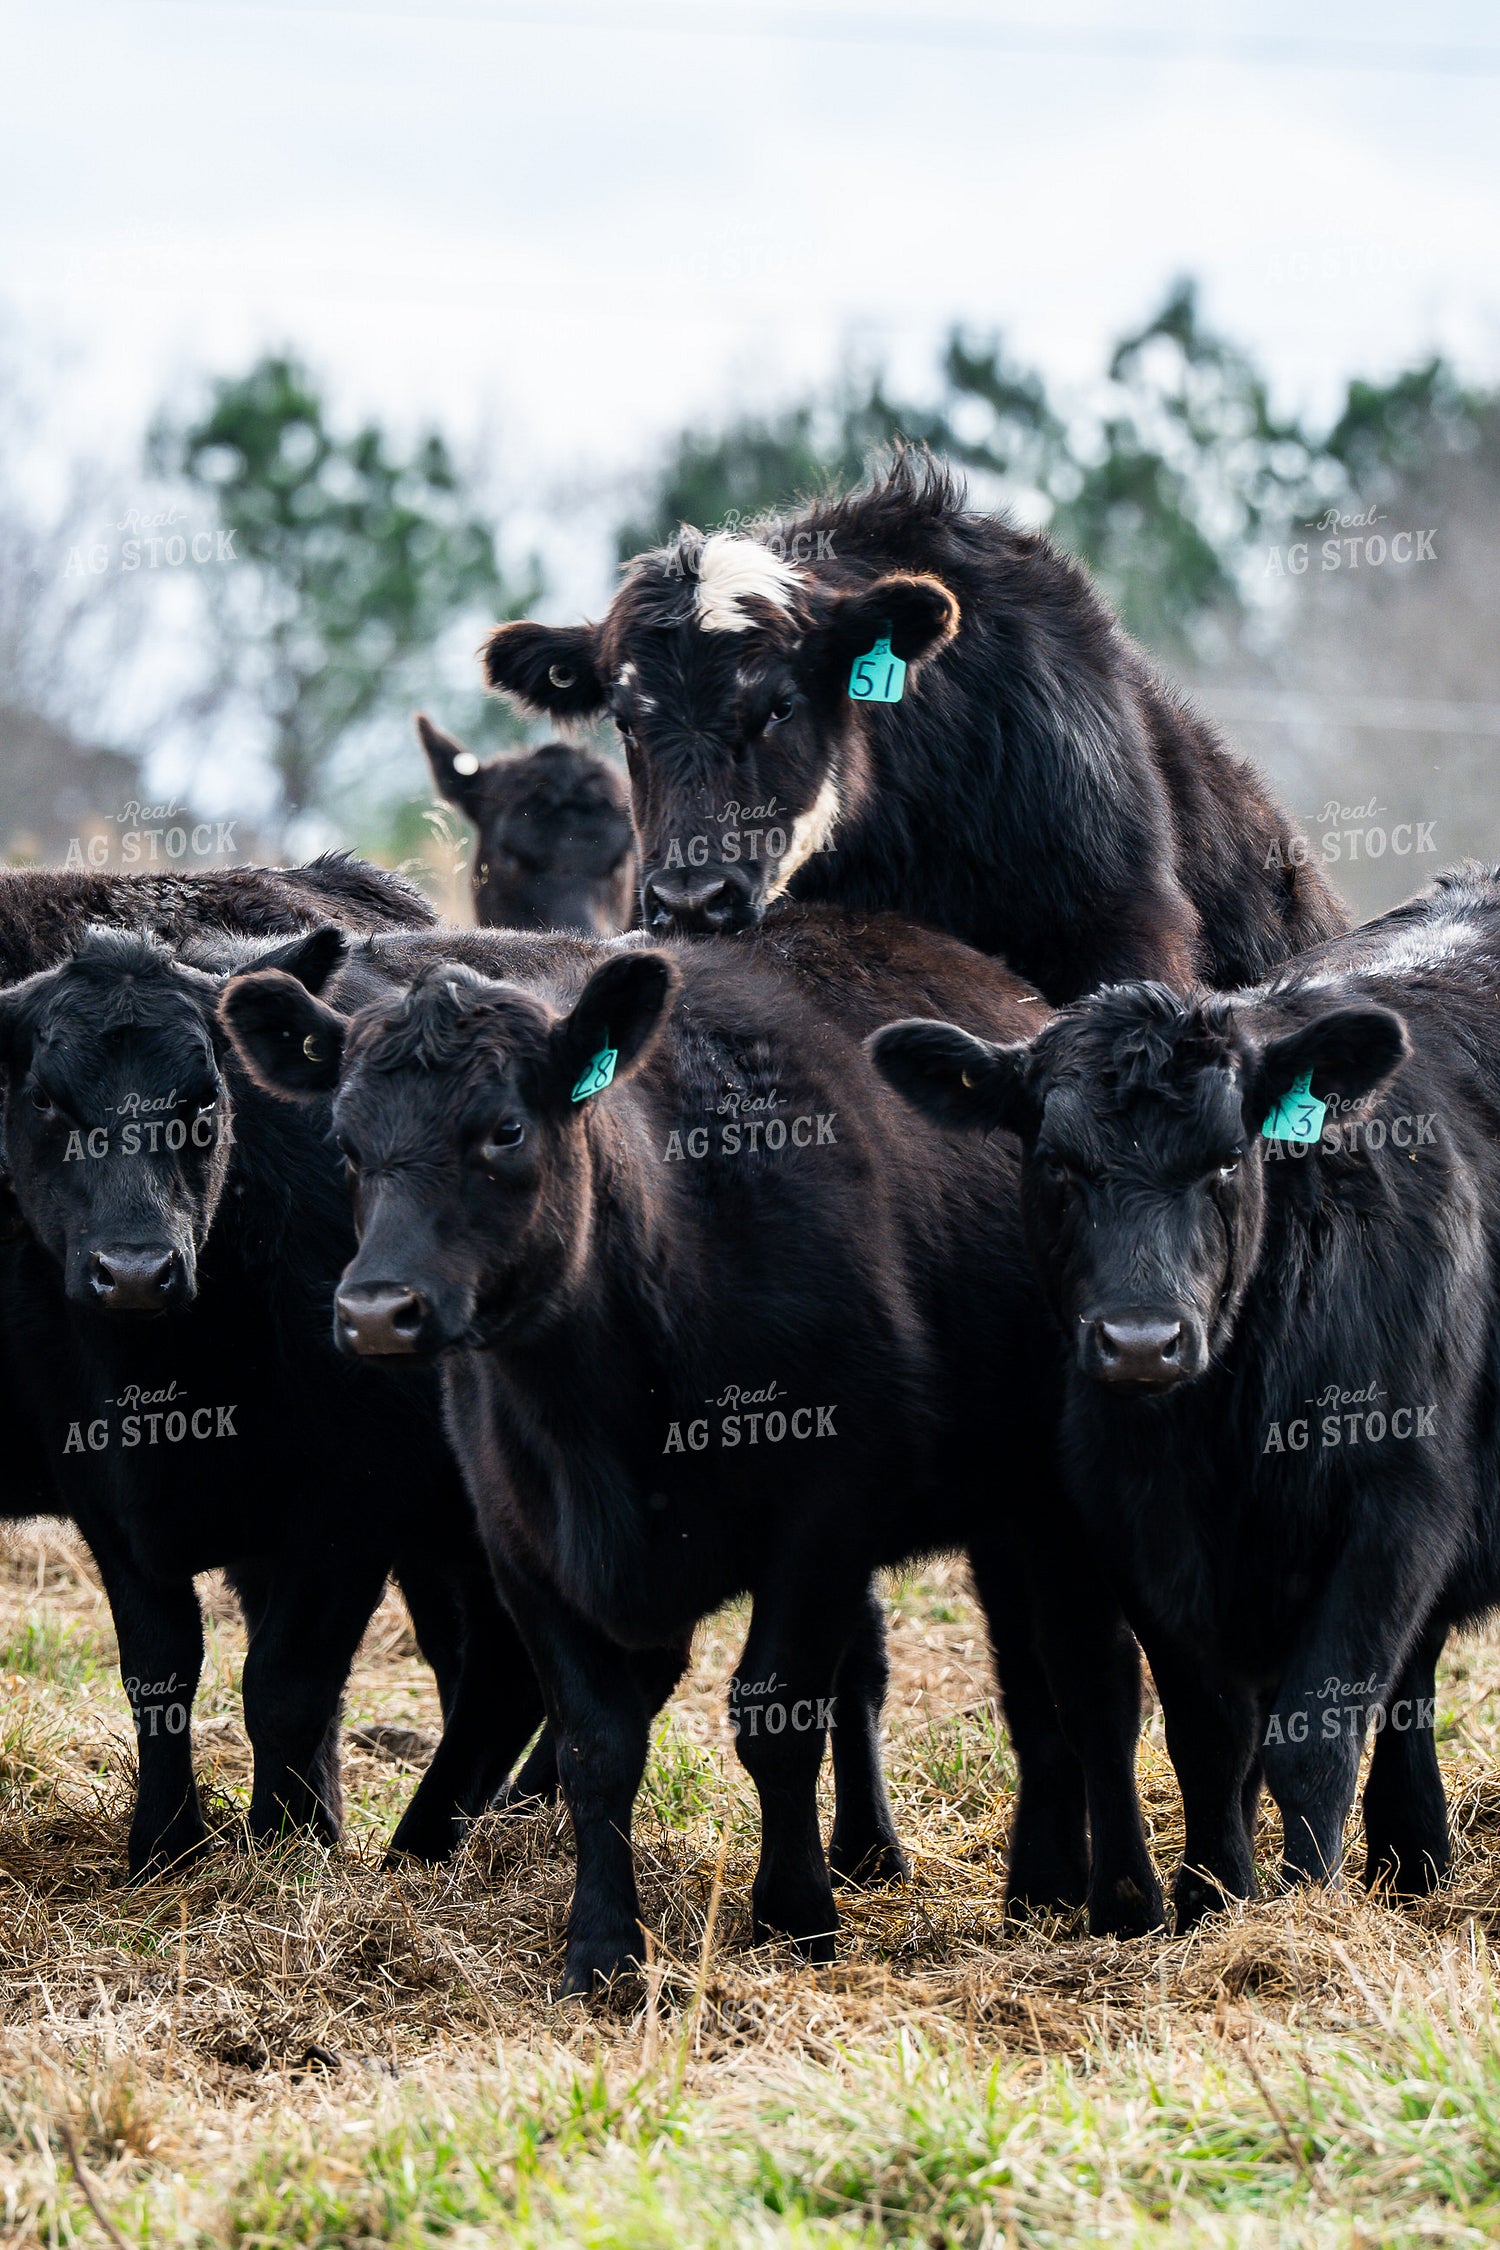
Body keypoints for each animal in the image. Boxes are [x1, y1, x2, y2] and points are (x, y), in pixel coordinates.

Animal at [0, 861, 542, 1876]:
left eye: (206, 1102)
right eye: (45, 1100)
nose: (136, 1270)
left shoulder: (350, 1506)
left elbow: (285, 1685)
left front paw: (286, 1849)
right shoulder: (106, 1498)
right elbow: (159, 1671)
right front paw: (164, 1846)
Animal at [219, 904, 1163, 1992]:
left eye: (505, 1129)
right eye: (344, 1141)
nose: (377, 1310)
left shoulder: (819, 1519)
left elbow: (777, 1717)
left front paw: (795, 1917)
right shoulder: (522, 1543)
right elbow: (596, 1744)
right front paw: (601, 1948)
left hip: (1053, 1502)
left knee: (1090, 1678)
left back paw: (1117, 1901)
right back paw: (993, 1877)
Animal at [868, 865, 1500, 1925]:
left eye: (1226, 1160)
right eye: (1056, 1163)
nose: (1139, 1340)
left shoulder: (1400, 1502)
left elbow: (1315, 1735)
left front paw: (1302, 1908)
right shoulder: (1138, 1526)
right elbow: (1210, 1736)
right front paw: (1214, 1899)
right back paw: (1413, 1858)